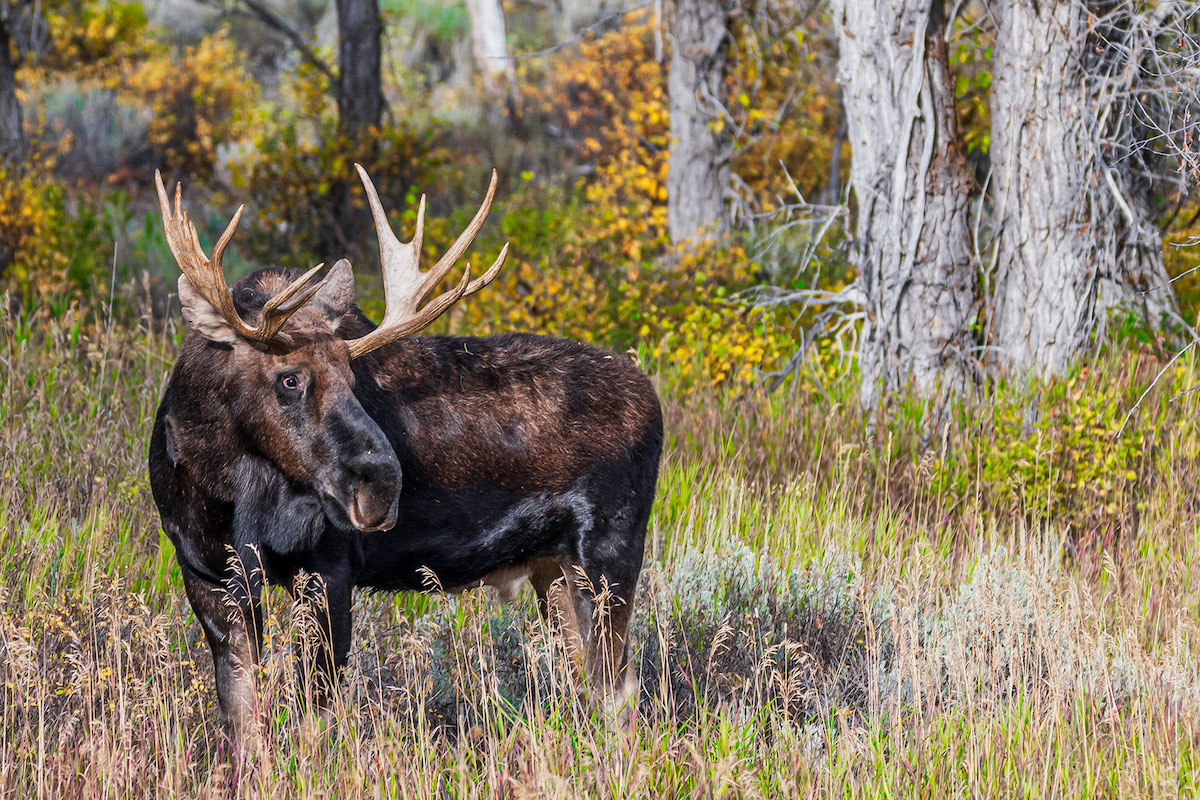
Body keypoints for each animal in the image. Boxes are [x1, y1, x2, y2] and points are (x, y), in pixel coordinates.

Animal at [147, 166, 663, 741]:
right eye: (289, 378)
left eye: (353, 379)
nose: (381, 485)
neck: (219, 486)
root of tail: (654, 402)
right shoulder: (207, 573)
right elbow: (241, 721)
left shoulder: (328, 571)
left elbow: (309, 718)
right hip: (554, 568)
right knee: (594, 683)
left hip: (609, 553)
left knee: (621, 690)